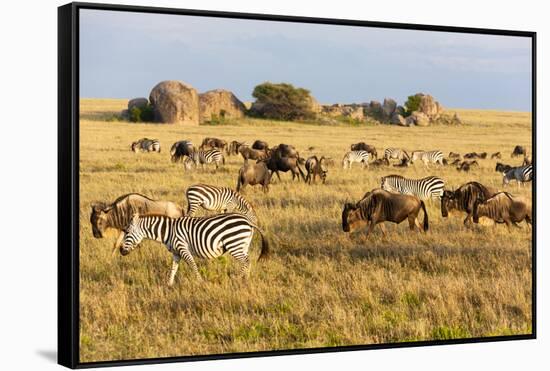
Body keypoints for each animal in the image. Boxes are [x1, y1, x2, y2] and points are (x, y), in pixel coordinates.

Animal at [121, 214, 270, 286]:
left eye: (127, 233)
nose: (121, 251)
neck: (168, 231)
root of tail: (247, 220)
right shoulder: (176, 253)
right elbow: (173, 268)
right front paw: (169, 284)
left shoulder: (183, 247)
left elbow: (193, 265)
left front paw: (200, 282)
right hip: (243, 244)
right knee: (248, 260)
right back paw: (245, 279)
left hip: (234, 243)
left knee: (246, 261)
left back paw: (237, 279)